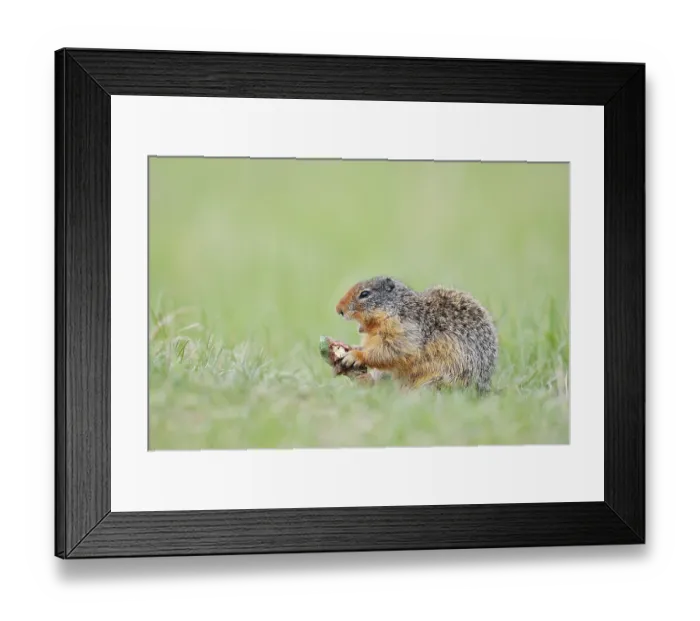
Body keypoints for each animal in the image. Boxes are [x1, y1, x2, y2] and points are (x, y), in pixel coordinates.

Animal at [334, 276, 498, 392]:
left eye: (364, 294)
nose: (338, 309)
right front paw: (351, 348)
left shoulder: (406, 330)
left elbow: (392, 351)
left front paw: (354, 355)